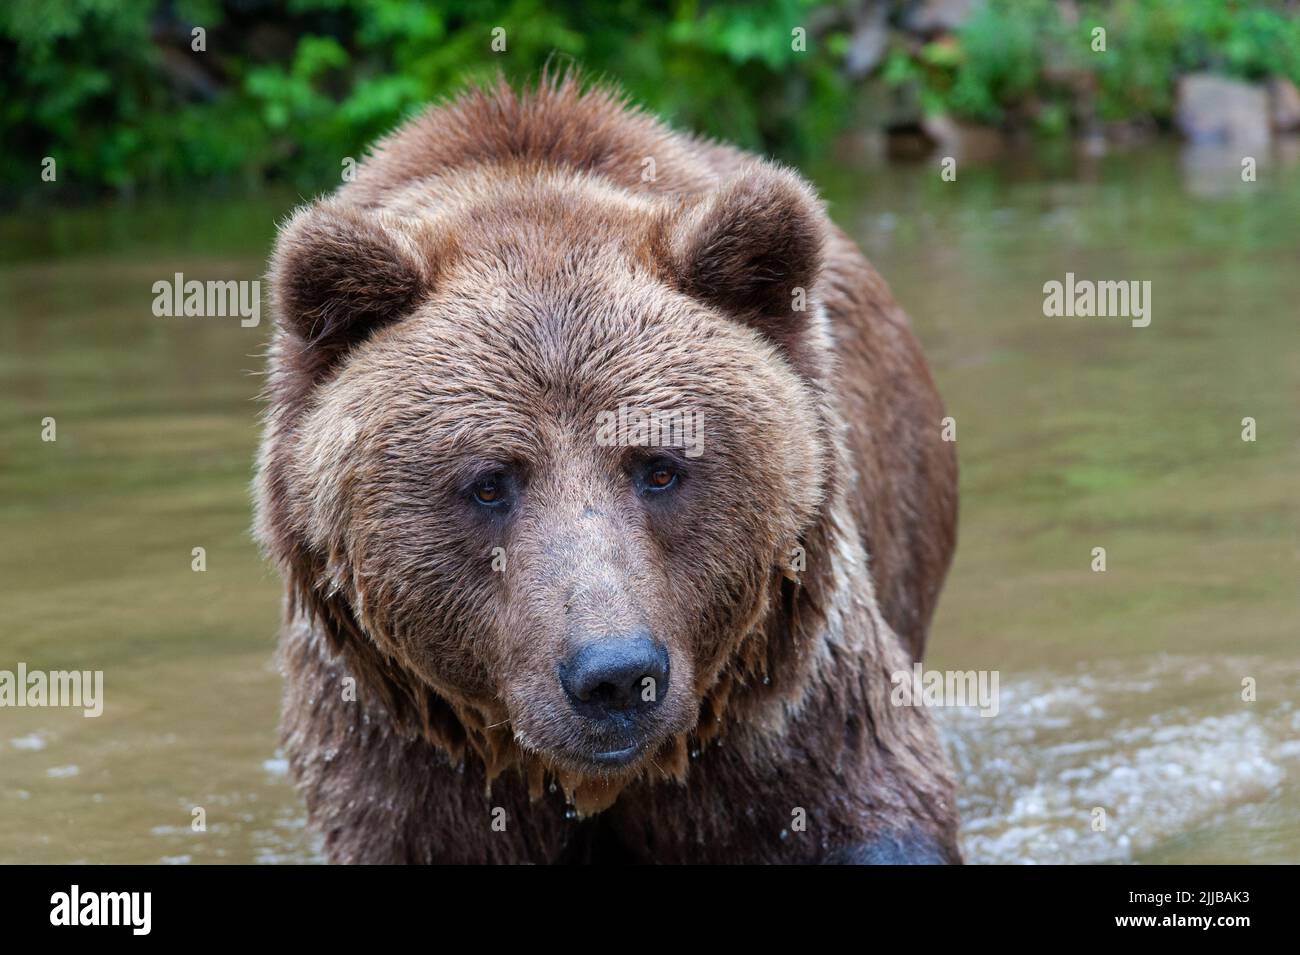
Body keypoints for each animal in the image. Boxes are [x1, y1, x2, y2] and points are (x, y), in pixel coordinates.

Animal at [255, 71, 961, 864]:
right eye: (489, 481)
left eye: (660, 466)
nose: (616, 676)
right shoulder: (397, 739)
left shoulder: (785, 691)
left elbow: (870, 801)